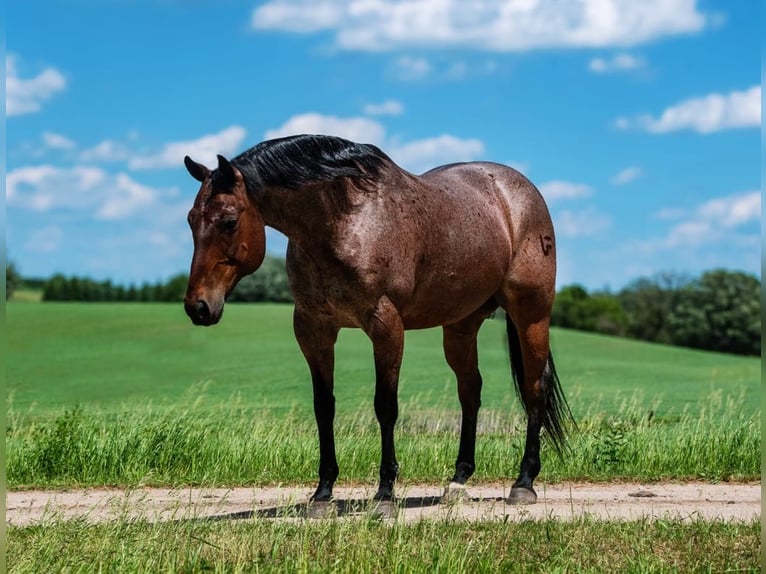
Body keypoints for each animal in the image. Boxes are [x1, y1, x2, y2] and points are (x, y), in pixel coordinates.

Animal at [183, 133, 572, 506]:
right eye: (190, 220)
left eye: (230, 221)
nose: (197, 307)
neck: (344, 222)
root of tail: (518, 191)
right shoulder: (313, 329)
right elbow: (324, 406)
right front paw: (323, 492)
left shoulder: (385, 326)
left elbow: (385, 406)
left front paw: (385, 492)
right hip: (461, 326)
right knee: (470, 391)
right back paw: (458, 479)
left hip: (531, 314)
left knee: (534, 388)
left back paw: (523, 483)